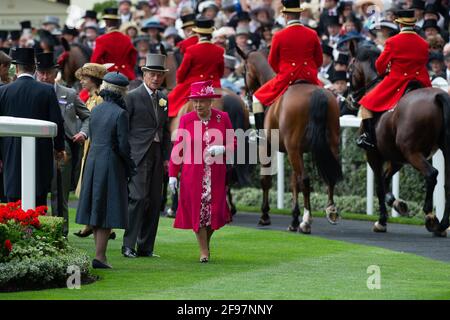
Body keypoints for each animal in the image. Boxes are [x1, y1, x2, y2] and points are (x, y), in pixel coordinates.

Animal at [237, 48, 342, 232]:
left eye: (244, 71)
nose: (248, 99)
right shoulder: (294, 151)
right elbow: (294, 182)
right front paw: (293, 218)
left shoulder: (269, 148)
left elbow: (266, 180)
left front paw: (265, 216)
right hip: (330, 145)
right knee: (328, 176)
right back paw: (330, 211)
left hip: (294, 150)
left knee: (305, 180)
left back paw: (306, 221)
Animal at [350, 44, 450, 238]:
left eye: (349, 68)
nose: (351, 98)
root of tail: (437, 97)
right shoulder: (397, 159)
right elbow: (385, 179)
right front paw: (397, 204)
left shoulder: (373, 155)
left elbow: (380, 186)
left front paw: (382, 221)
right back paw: (442, 225)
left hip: (412, 153)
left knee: (431, 174)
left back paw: (430, 217)